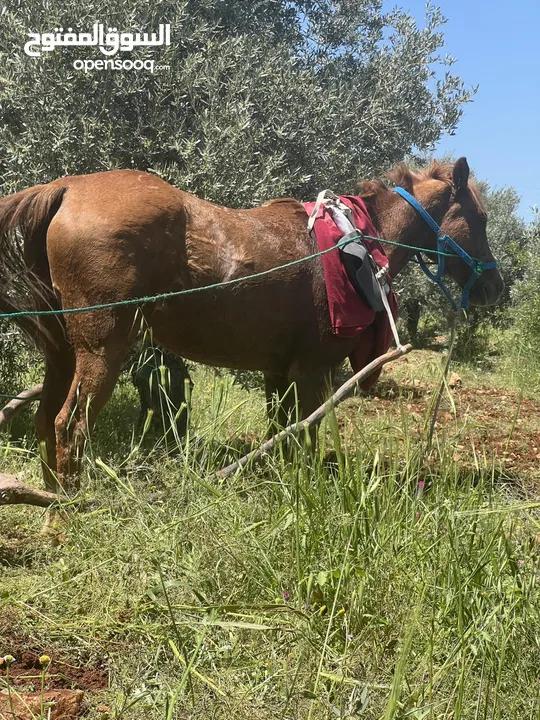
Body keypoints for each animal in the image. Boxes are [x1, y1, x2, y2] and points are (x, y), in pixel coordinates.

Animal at [0, 156, 502, 500]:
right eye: (480, 218)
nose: (494, 285)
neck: (352, 242)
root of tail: (67, 187)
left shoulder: (277, 372)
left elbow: (281, 435)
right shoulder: (312, 371)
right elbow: (304, 435)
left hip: (63, 352)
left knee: (46, 419)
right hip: (102, 350)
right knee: (70, 425)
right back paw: (70, 507)